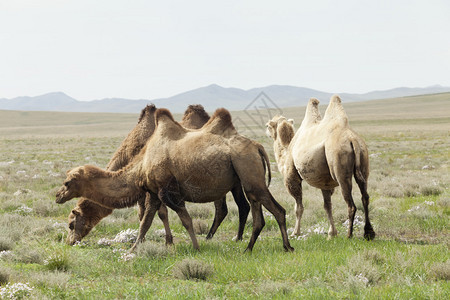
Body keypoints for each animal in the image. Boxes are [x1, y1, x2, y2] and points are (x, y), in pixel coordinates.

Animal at [56, 106, 294, 252]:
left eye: (67, 182)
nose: (58, 195)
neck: (141, 163)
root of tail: (257, 146)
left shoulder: (167, 190)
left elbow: (184, 219)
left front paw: (195, 247)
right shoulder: (153, 193)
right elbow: (146, 221)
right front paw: (134, 248)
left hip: (248, 172)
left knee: (274, 209)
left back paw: (284, 246)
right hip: (243, 179)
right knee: (253, 210)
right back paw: (248, 246)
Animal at [266, 96, 374, 241]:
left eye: (267, 125)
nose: (266, 131)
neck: (287, 149)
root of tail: (353, 140)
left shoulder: (292, 176)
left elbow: (298, 207)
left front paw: (295, 232)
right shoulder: (325, 182)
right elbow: (327, 206)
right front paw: (331, 233)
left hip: (340, 165)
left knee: (351, 204)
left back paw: (349, 235)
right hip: (363, 160)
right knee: (365, 197)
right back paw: (369, 233)